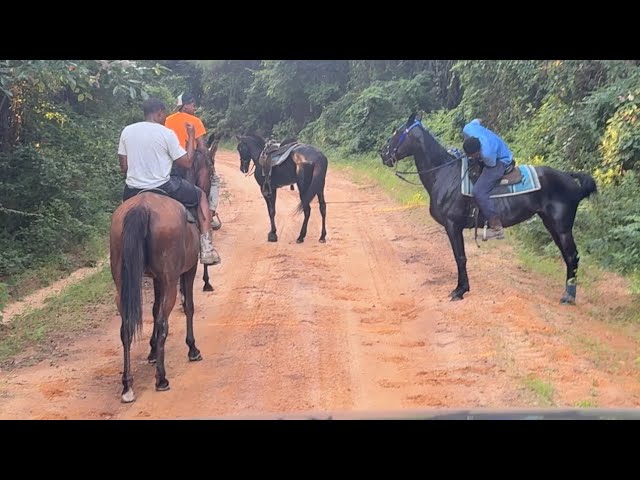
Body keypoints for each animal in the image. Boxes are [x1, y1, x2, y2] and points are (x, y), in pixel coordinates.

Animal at [109, 193, 201, 404]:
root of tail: (143, 206)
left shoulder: (157, 279)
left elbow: (154, 308)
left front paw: (151, 352)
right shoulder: (189, 269)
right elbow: (189, 307)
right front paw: (192, 348)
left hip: (122, 284)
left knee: (126, 328)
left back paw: (127, 386)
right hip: (171, 280)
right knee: (162, 322)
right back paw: (161, 379)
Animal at [378, 112, 596, 304]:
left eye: (397, 132)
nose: (383, 154)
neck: (445, 174)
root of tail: (569, 178)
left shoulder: (452, 225)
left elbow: (460, 257)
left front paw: (460, 290)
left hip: (561, 227)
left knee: (572, 257)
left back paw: (568, 296)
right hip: (551, 225)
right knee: (568, 257)